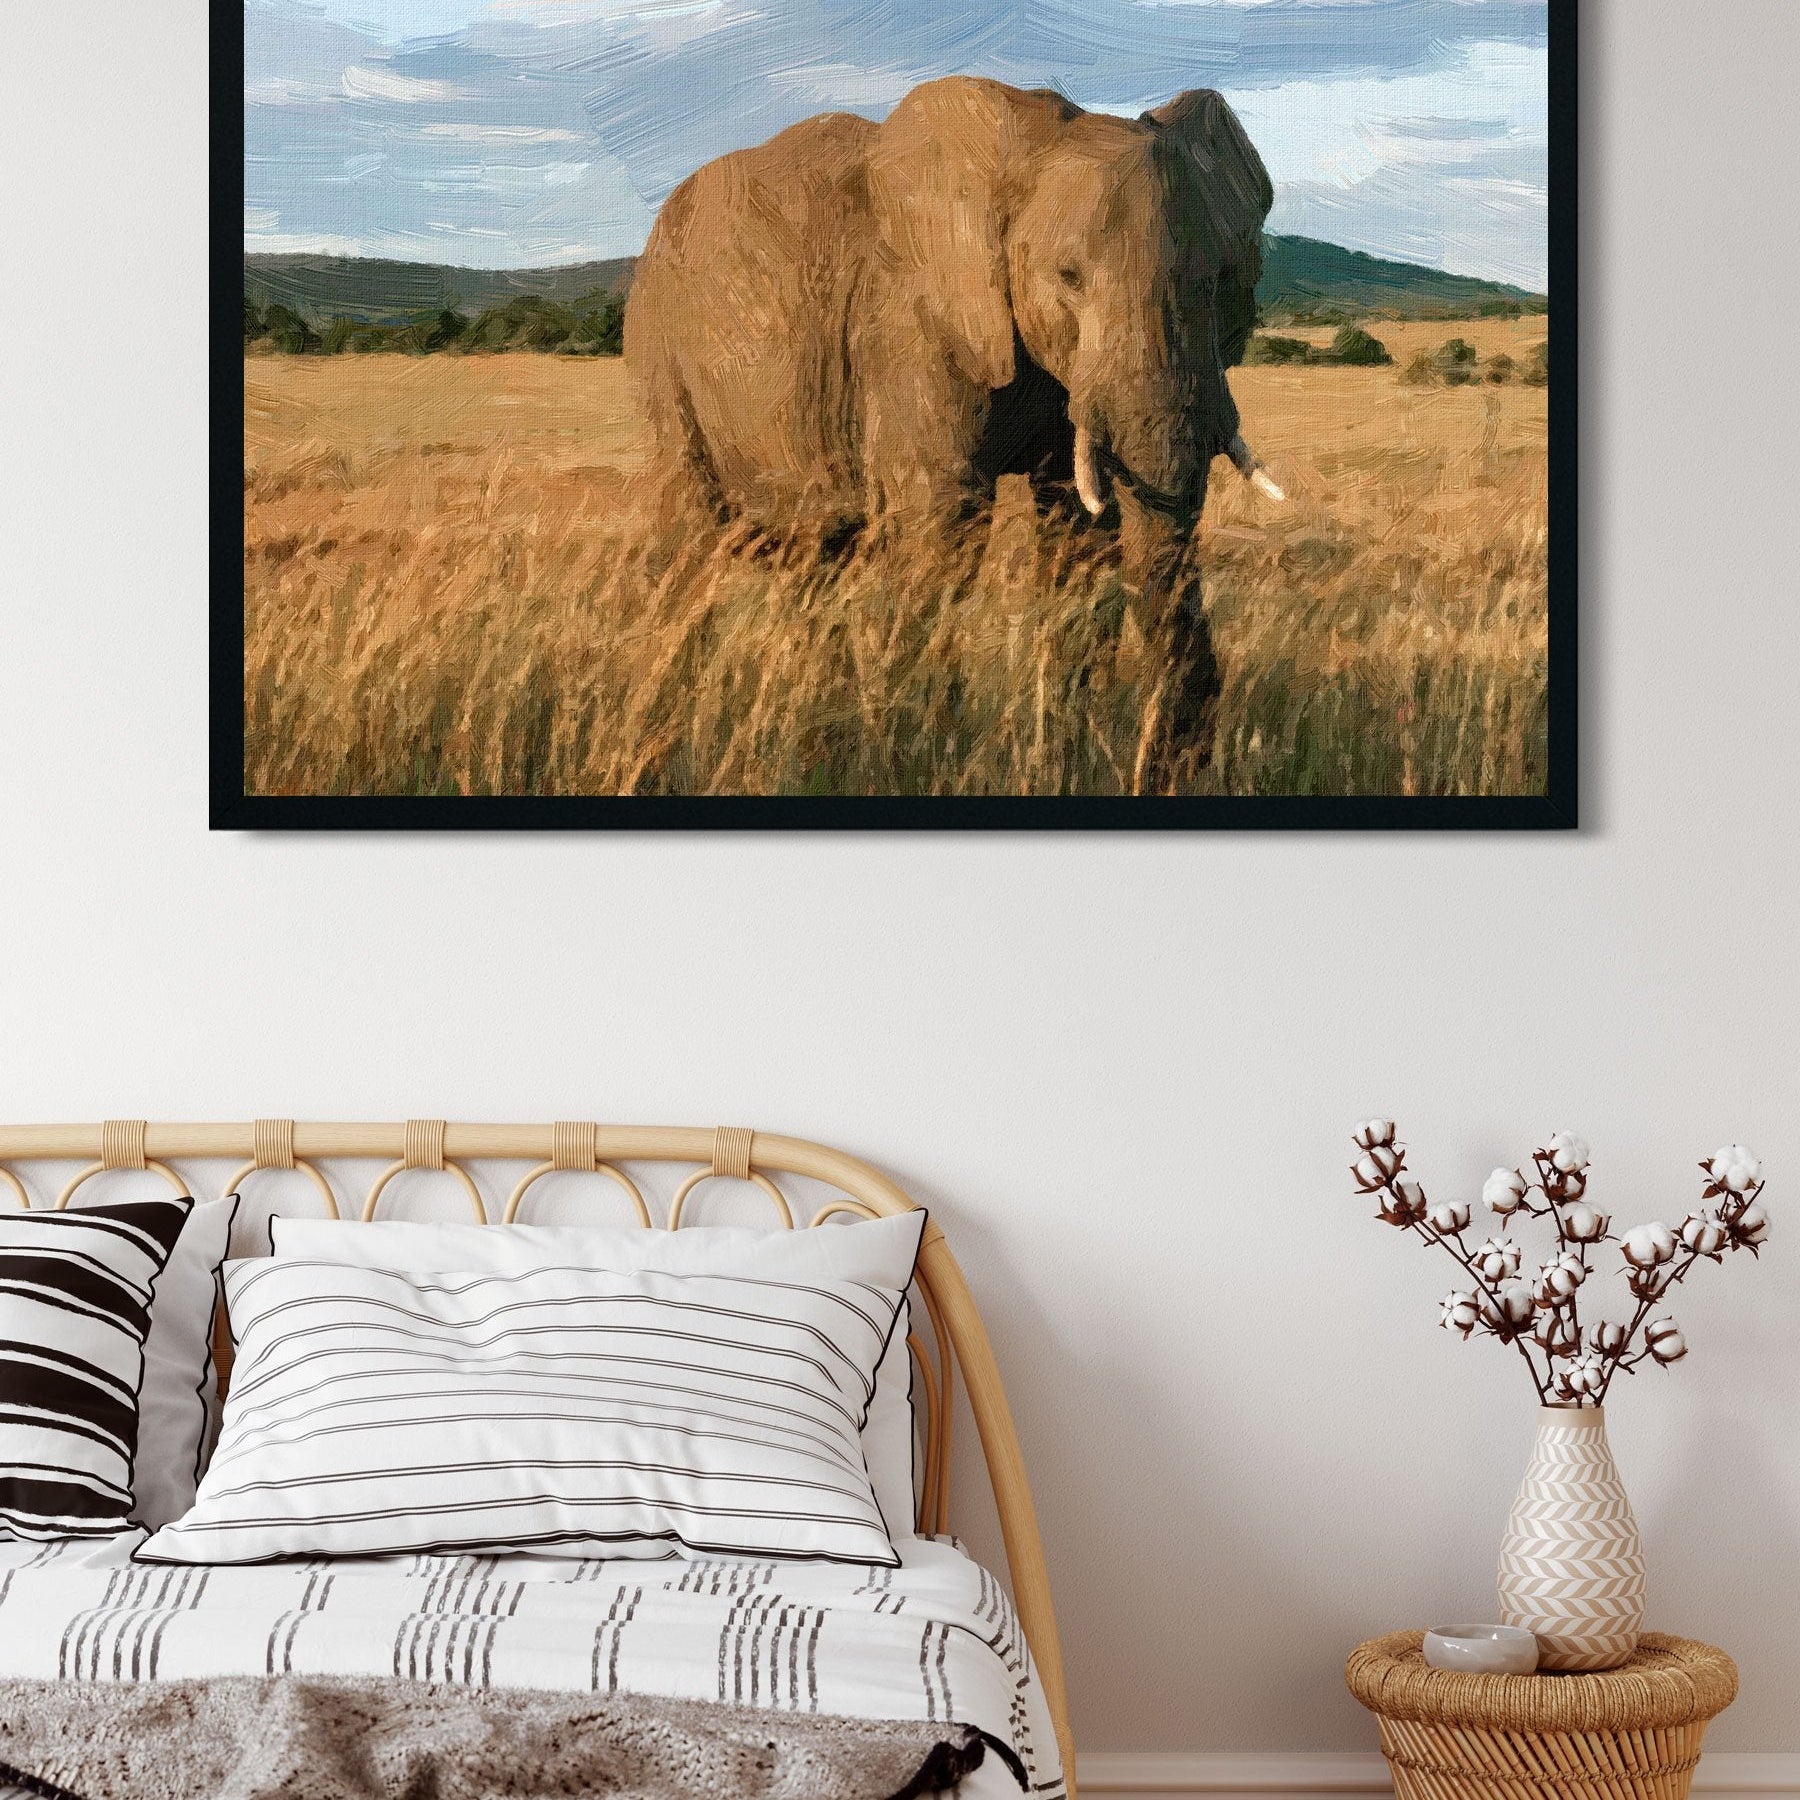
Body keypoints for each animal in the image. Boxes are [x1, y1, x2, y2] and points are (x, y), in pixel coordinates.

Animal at [624, 75, 1276, 756]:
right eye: (1068, 277)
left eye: (1221, 281)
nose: (1175, 758)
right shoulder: (907, 320)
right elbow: (942, 522)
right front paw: (912, 749)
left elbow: (1075, 531)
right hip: (659, 346)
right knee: (686, 534)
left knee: (820, 558)